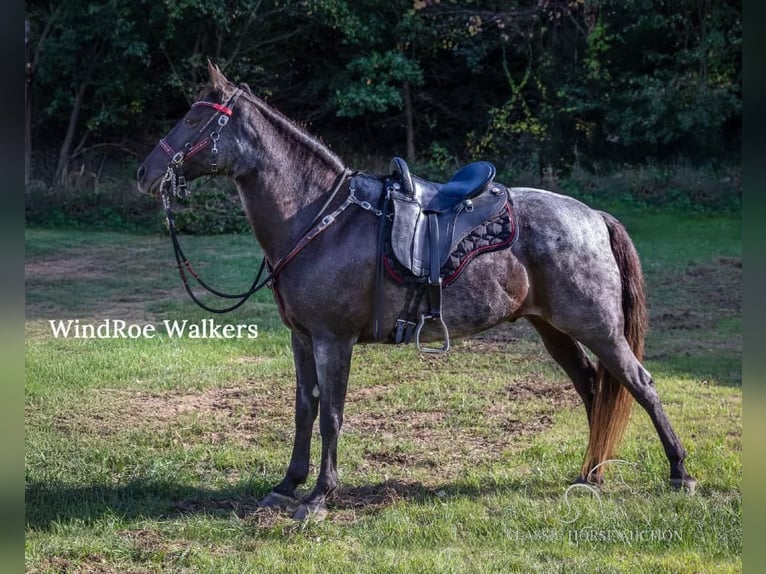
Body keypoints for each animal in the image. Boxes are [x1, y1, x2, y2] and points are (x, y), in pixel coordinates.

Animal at [136, 63, 696, 520]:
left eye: (195, 119)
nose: (144, 174)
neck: (318, 217)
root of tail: (593, 217)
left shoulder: (333, 340)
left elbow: (332, 414)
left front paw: (319, 497)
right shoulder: (302, 338)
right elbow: (304, 408)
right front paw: (287, 485)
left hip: (599, 328)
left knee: (639, 384)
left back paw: (679, 474)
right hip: (554, 330)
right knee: (593, 389)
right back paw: (590, 476)